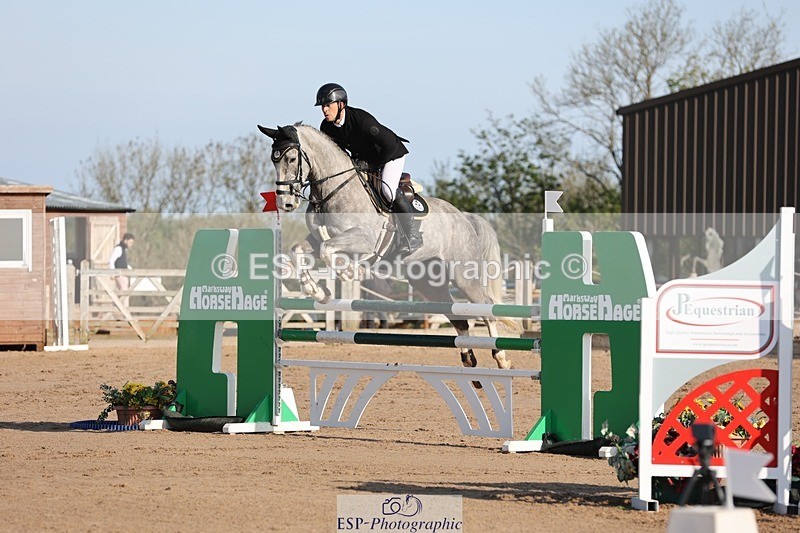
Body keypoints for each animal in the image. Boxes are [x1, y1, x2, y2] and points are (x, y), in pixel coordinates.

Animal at [258, 123, 516, 371]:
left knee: (486, 307)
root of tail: (465, 218)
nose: (285, 203)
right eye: (274, 159)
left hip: (462, 275)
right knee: (458, 317)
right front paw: (317, 291)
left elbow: (328, 250)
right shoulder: (317, 238)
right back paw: (468, 358)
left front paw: (350, 271)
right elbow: (299, 250)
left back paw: (501, 358)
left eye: (292, 159)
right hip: (428, 281)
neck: (332, 191)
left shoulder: (363, 239)